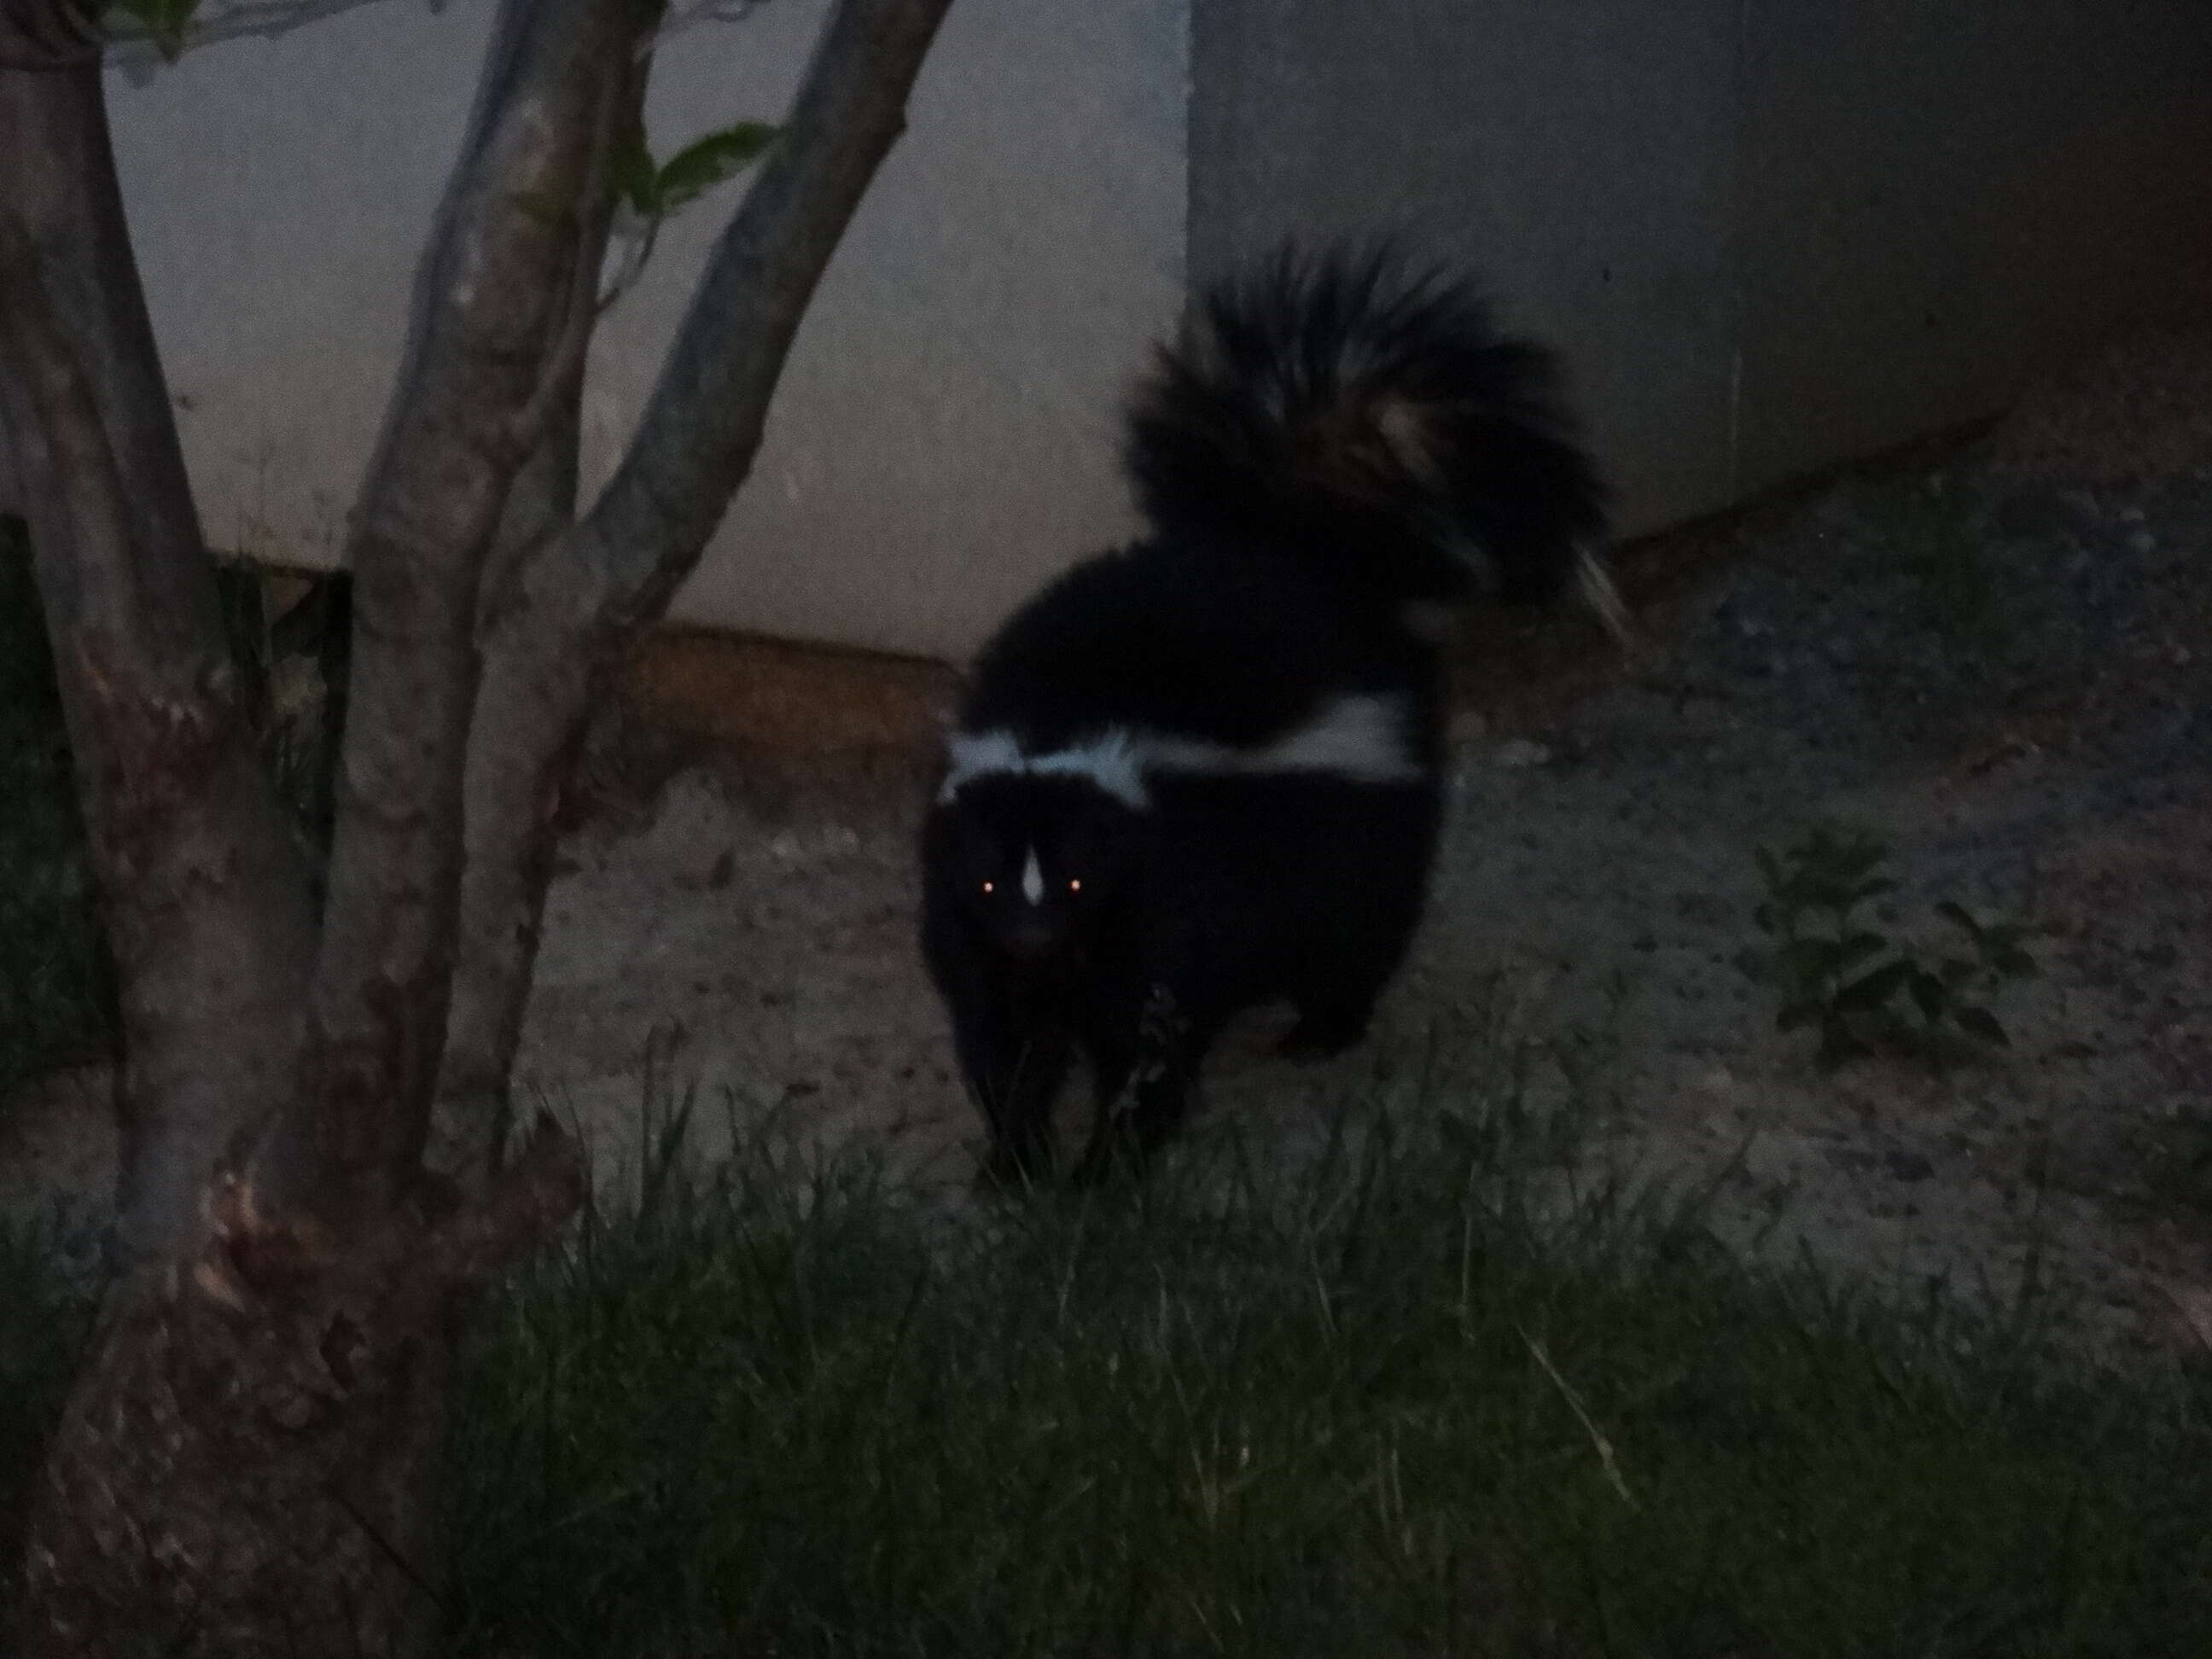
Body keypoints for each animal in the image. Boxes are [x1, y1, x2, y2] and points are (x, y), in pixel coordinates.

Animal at [911, 243, 1610, 1185]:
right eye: (991, 880)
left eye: (1078, 880)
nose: (1035, 935)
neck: (1065, 728)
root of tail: (1304, 553)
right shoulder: (972, 928)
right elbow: (1005, 1039)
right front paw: (1017, 1162)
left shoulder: (1167, 895)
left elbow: (1150, 1033)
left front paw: (1107, 1167)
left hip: (1360, 829)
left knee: (1356, 933)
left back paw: (1321, 1030)